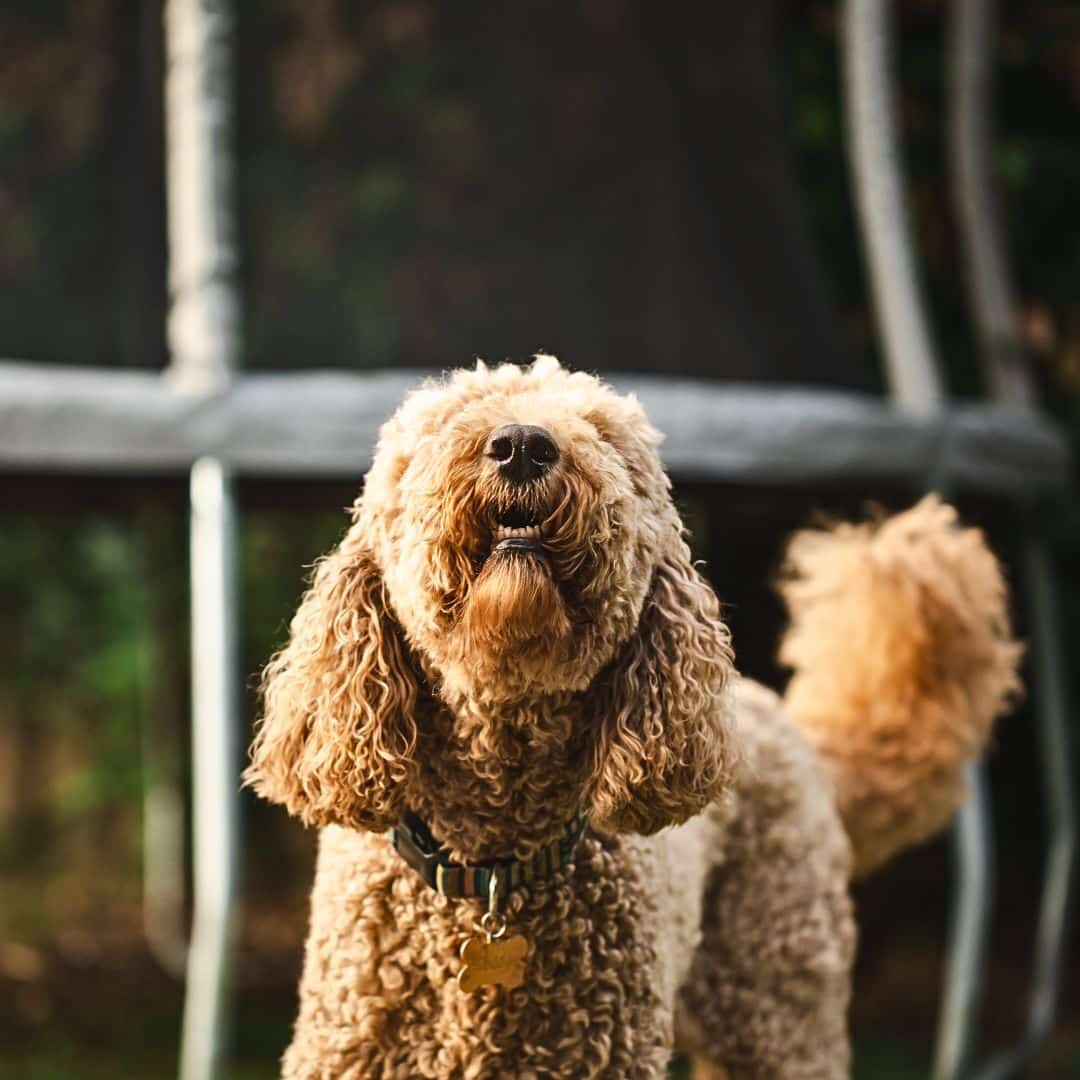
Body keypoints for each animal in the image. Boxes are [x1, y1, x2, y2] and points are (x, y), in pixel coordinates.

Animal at [247, 358, 1019, 1075]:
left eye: (604, 437)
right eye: (441, 429)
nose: (522, 444)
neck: (493, 860)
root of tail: (783, 721)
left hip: (779, 1002)